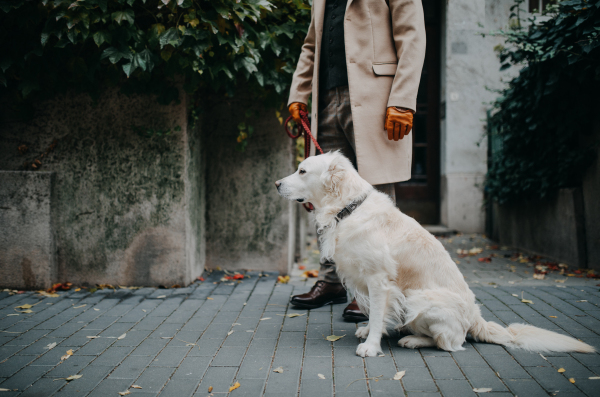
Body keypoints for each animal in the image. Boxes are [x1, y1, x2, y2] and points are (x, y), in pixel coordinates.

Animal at [276, 151, 596, 356]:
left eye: (302, 171)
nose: (277, 184)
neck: (347, 207)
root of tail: (475, 319)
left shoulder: (379, 281)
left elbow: (379, 313)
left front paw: (371, 345)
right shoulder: (363, 280)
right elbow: (373, 312)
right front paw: (368, 331)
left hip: (420, 300)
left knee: (450, 344)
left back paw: (414, 341)